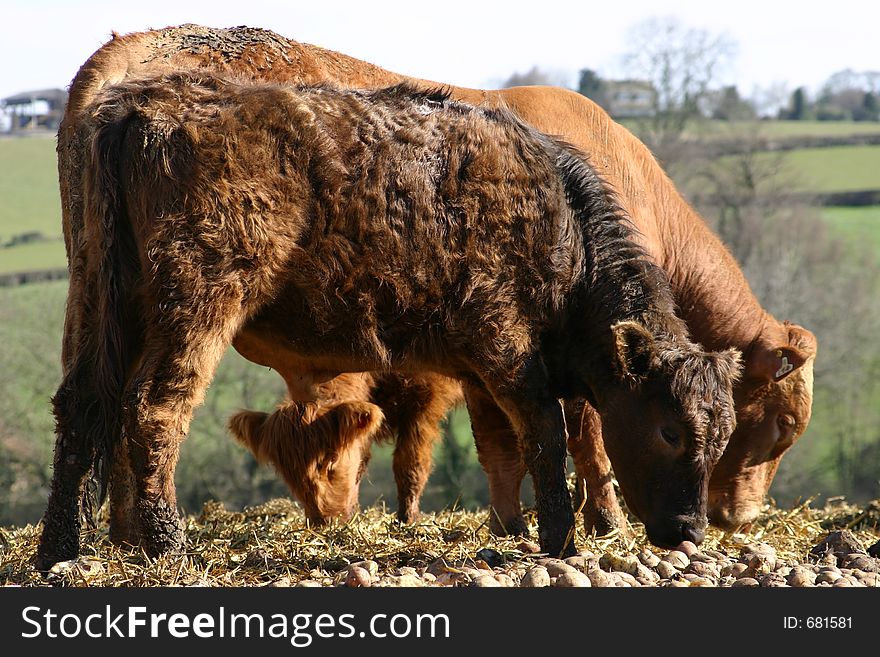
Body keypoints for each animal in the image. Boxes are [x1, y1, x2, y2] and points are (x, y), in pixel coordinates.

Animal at [51, 24, 816, 544]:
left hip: (98, 297)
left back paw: (72, 549)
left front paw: (514, 530)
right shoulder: (505, 343)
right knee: (152, 408)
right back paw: (161, 545)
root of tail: (134, 94)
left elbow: (505, 443)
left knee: (85, 403)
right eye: (667, 429)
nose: (706, 525)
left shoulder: (479, 364)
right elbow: (559, 432)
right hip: (195, 301)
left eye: (727, 429)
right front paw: (579, 531)